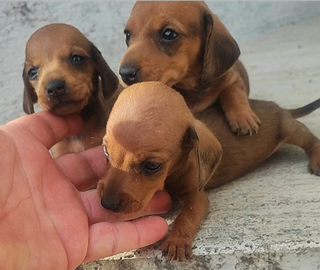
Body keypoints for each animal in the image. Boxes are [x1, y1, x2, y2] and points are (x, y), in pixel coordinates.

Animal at [97, 81, 320, 262]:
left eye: (152, 165)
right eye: (105, 152)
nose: (107, 204)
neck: (173, 173)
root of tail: (280, 107)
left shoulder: (197, 198)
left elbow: (185, 217)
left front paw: (177, 241)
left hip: (290, 129)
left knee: (311, 140)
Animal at [120, 1, 260, 137]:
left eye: (168, 34)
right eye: (127, 35)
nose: (124, 74)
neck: (190, 84)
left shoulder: (232, 78)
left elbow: (234, 93)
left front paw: (243, 117)